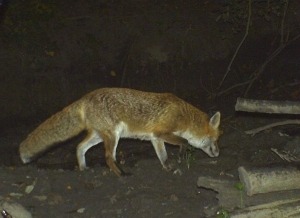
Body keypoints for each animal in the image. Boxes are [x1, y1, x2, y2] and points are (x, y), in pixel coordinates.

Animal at [18, 87, 220, 176]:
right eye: (216, 139)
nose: (218, 153)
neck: (184, 116)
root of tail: (86, 97)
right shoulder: (161, 132)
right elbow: (184, 142)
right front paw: (181, 154)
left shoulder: (155, 138)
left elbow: (162, 156)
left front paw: (169, 168)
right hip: (113, 136)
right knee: (108, 158)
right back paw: (121, 174)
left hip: (99, 136)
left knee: (79, 147)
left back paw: (83, 169)